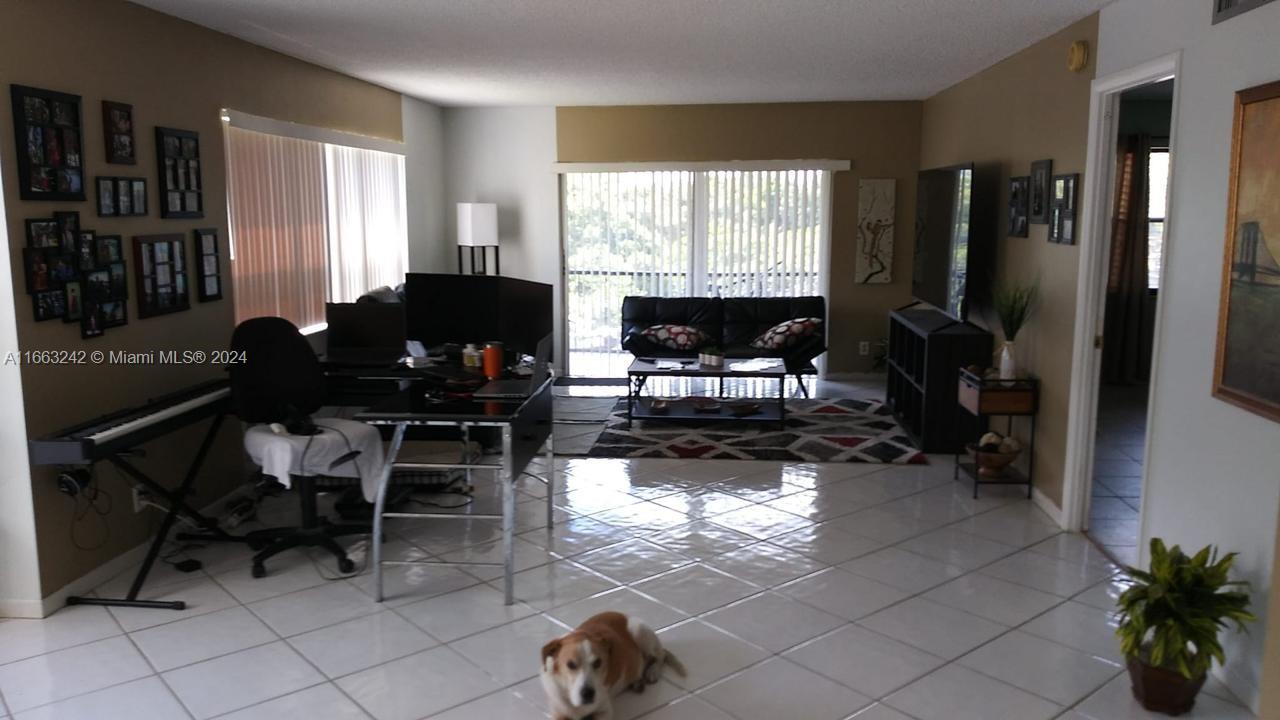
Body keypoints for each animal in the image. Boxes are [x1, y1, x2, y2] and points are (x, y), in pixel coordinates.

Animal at [542, 609, 691, 717]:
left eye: (598, 663)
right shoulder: (559, 712)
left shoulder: (604, 711)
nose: (588, 693)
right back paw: (638, 681)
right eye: (570, 665)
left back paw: (652, 672)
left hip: (639, 631)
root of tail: (621, 613)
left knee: (660, 655)